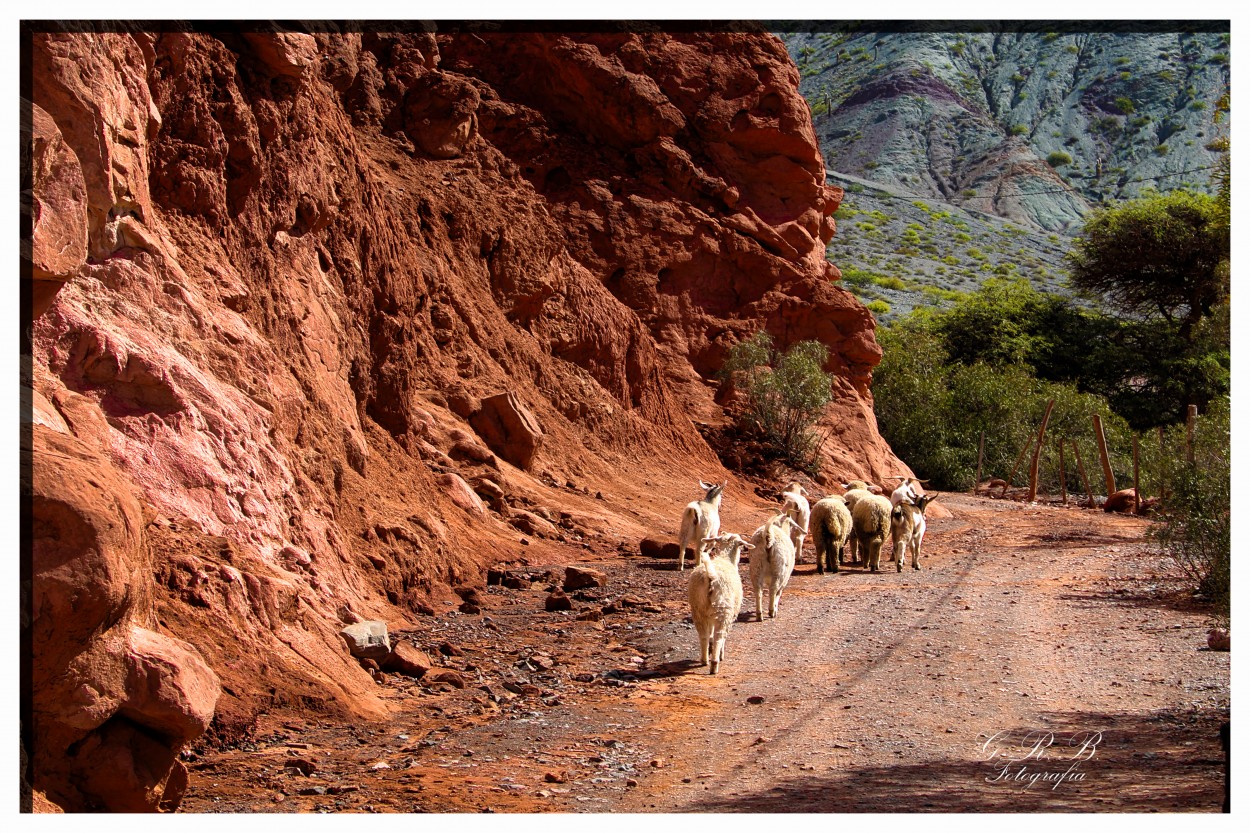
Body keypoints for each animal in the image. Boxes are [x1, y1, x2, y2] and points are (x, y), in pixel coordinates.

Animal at [690, 532, 745, 675]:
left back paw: (704, 660)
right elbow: (721, 636)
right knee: (719, 635)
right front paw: (721, 653)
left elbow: (709, 633)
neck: (725, 558)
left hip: (698, 608)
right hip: (723, 609)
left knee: (703, 635)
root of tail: (711, 577)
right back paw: (715, 663)